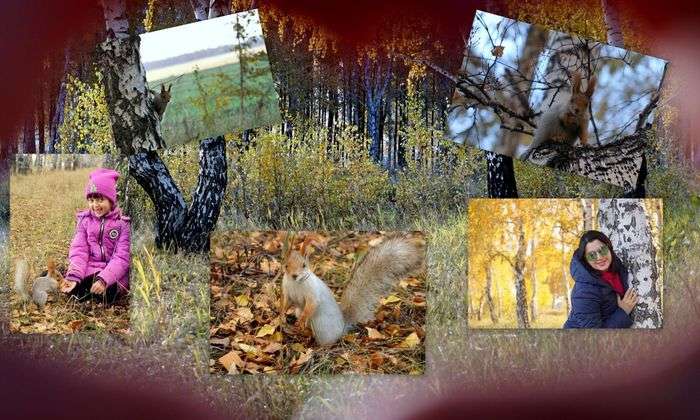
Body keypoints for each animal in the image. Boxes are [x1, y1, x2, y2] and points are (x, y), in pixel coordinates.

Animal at [280, 235, 426, 346]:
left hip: (322, 328)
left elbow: (311, 305)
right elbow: (286, 302)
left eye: (304, 265)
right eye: (286, 265)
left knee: (327, 342)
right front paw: (281, 315)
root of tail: (342, 326)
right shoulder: (287, 292)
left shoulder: (313, 293)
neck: (295, 283)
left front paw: (301, 320)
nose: (294, 275)